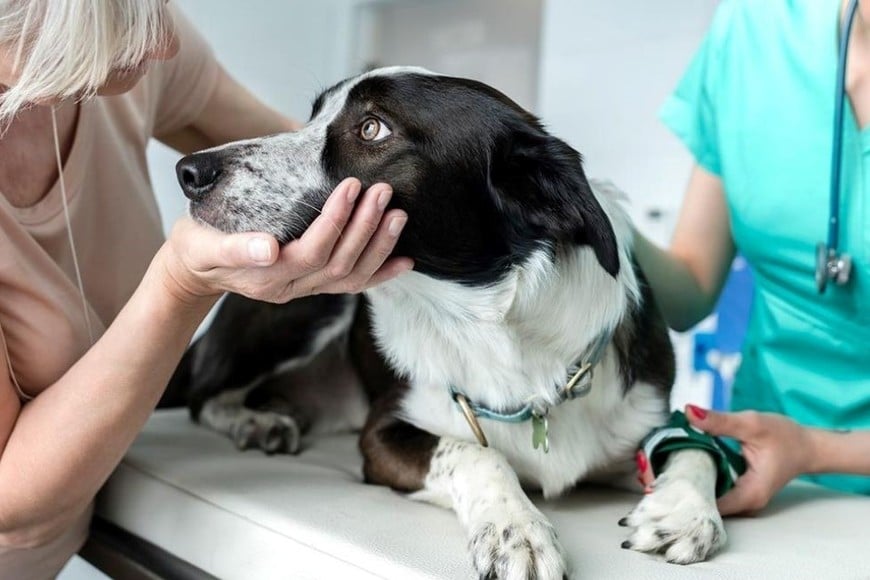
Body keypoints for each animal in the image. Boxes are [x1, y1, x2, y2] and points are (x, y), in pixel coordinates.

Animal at [165, 67, 728, 576]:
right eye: (313, 116)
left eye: (372, 128)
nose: (189, 172)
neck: (490, 327)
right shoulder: (381, 435)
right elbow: (476, 453)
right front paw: (515, 528)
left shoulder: (645, 423)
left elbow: (698, 446)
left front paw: (684, 511)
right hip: (311, 306)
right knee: (202, 397)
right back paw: (256, 421)